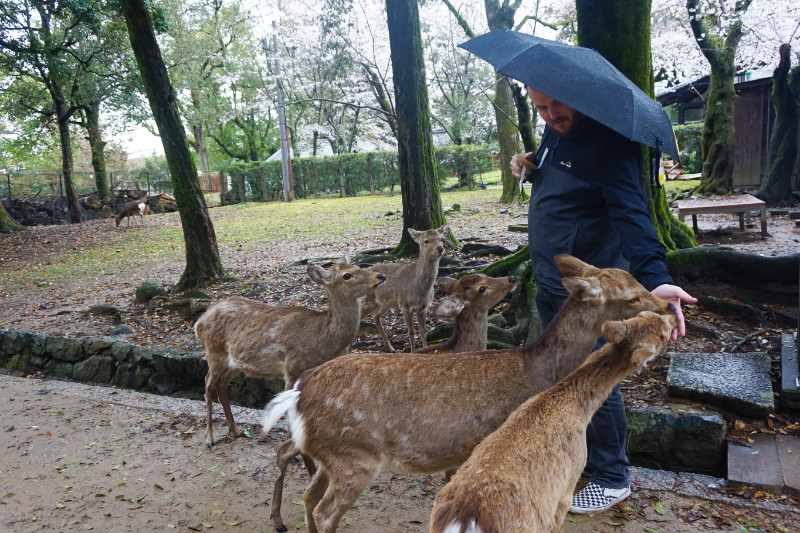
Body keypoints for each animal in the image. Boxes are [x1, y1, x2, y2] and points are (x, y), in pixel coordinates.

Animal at [194, 257, 386, 450]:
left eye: (357, 266)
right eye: (347, 275)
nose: (381, 276)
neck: (322, 339)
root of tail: (198, 322)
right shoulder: (292, 368)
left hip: (234, 362)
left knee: (221, 384)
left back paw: (234, 430)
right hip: (214, 351)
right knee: (208, 383)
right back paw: (210, 438)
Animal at [267, 272, 517, 532]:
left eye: (485, 276)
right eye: (482, 288)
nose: (512, 278)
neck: (459, 348)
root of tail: (299, 387)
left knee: (301, 478)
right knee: (287, 455)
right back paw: (279, 519)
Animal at [429, 310, 677, 533]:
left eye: (647, 314)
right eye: (663, 333)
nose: (674, 315)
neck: (577, 410)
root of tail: (464, 521)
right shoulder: (570, 479)